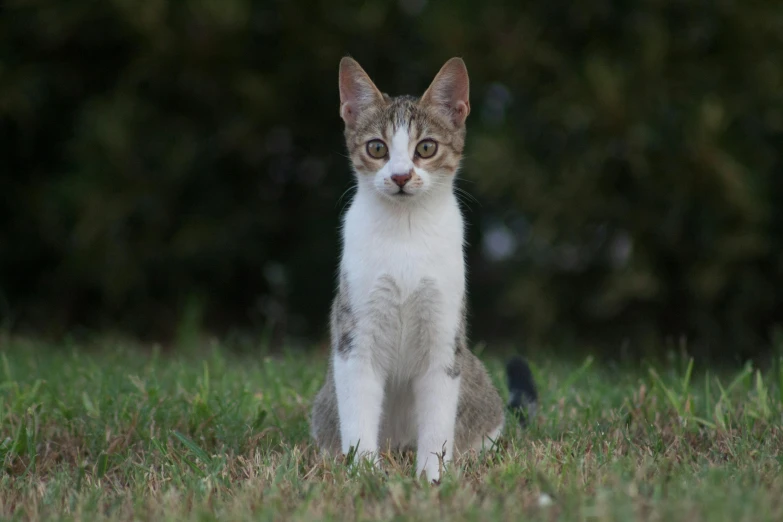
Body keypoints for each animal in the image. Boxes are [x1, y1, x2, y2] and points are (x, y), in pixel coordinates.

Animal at [310, 55, 540, 480]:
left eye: (426, 147)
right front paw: (364, 475)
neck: (406, 231)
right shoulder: (355, 338)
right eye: (377, 147)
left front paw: (432, 478)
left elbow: (437, 422)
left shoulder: (444, 340)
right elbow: (358, 414)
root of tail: (399, 445)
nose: (401, 175)